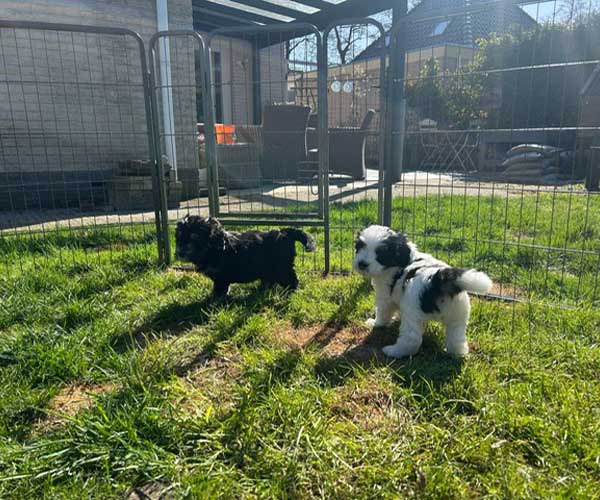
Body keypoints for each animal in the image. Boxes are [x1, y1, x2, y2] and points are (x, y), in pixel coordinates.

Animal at [175, 215, 316, 298]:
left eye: (194, 238)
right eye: (179, 237)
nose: (180, 253)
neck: (214, 247)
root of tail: (286, 232)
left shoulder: (221, 276)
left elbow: (220, 290)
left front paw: (214, 302)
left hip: (282, 267)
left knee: (291, 280)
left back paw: (288, 293)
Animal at [353, 225, 492, 358]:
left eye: (381, 254)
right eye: (360, 247)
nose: (362, 264)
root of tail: (437, 279)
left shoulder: (385, 296)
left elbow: (383, 312)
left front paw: (376, 323)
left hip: (412, 311)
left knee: (411, 338)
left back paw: (394, 351)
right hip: (458, 314)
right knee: (457, 337)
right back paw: (457, 354)